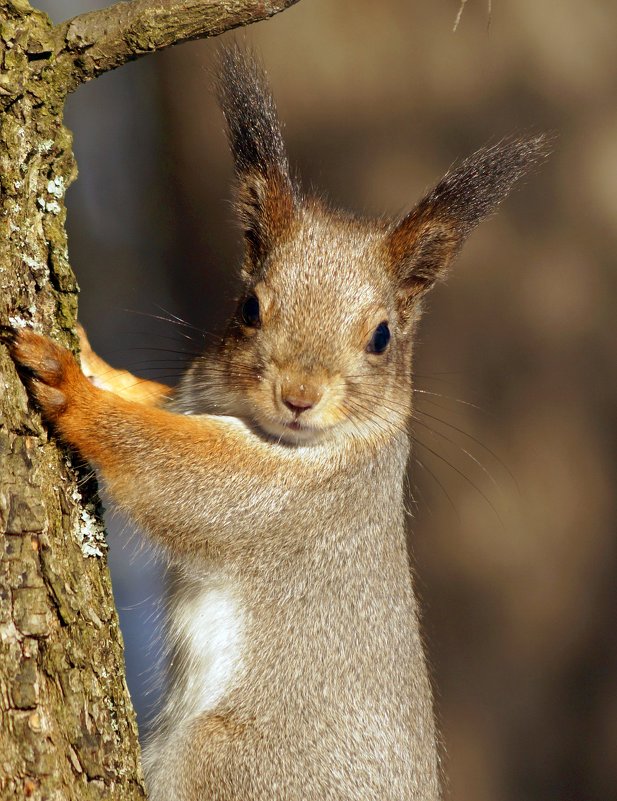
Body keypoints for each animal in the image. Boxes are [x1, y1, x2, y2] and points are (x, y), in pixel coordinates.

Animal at [3, 48, 544, 800]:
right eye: (249, 307)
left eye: (382, 336)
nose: (299, 396)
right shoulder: (197, 395)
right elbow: (155, 398)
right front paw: (89, 355)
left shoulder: (287, 501)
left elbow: (175, 474)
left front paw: (71, 385)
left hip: (231, 761)